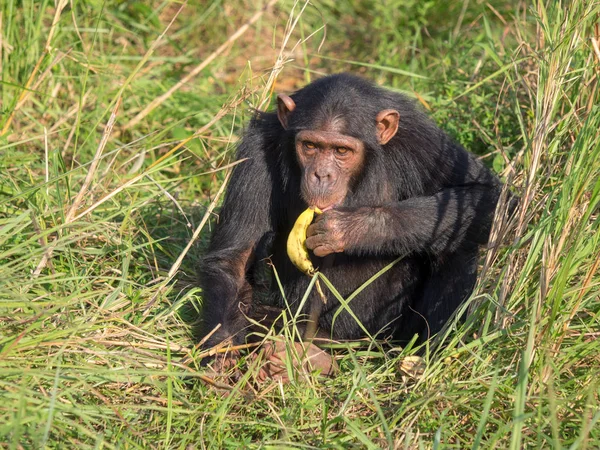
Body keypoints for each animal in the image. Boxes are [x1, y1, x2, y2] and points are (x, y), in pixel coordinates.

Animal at [198, 73, 502, 356]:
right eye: (310, 146)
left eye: (341, 150)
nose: (322, 175)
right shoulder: (255, 151)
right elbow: (234, 260)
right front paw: (220, 353)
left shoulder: (423, 141)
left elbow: (488, 194)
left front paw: (350, 228)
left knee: (457, 241)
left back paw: (423, 357)